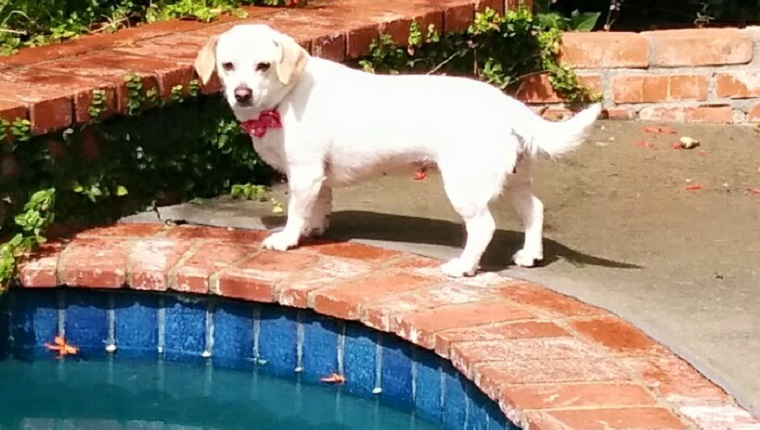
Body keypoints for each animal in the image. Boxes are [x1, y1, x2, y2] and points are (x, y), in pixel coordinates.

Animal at [193, 24, 604, 278]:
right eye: (228, 66)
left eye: (263, 66)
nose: (241, 93)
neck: (284, 98)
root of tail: (505, 103)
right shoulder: (318, 176)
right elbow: (320, 204)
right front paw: (314, 227)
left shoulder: (305, 172)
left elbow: (296, 209)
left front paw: (288, 238)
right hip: (514, 179)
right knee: (535, 209)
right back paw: (529, 254)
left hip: (466, 185)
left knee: (483, 227)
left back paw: (463, 267)